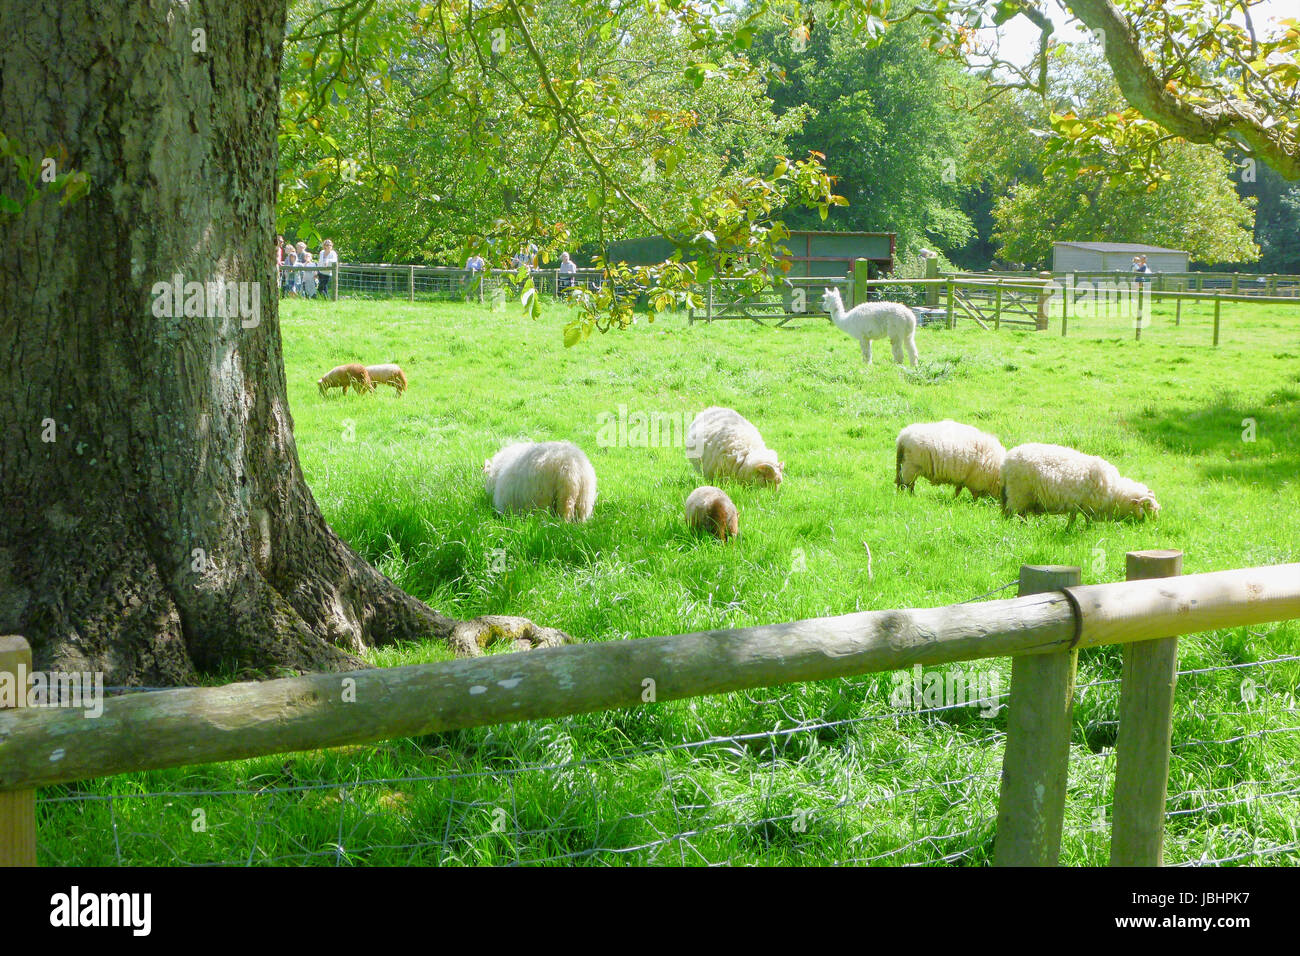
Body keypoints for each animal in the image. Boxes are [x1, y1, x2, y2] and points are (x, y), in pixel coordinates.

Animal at [998, 442, 1164, 530]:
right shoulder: (1088, 507)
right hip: (1019, 494)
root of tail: (1005, 462)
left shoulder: (1077, 505)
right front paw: (1085, 530)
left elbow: (1073, 518)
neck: (1116, 493)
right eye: (1148, 509)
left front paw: (1068, 529)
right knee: (1016, 515)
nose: (1155, 525)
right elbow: (1087, 521)